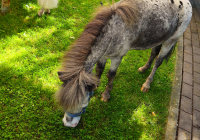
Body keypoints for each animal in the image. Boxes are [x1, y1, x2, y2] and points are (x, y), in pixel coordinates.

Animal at [54, 0, 192, 127]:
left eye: (84, 105)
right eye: (64, 103)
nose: (68, 124)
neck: (114, 30)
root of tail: (188, 3)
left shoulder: (117, 58)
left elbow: (111, 75)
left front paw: (106, 95)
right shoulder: (103, 55)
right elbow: (99, 69)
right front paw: (96, 84)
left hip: (170, 41)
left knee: (158, 62)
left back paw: (147, 84)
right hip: (159, 38)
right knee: (153, 53)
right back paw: (144, 68)